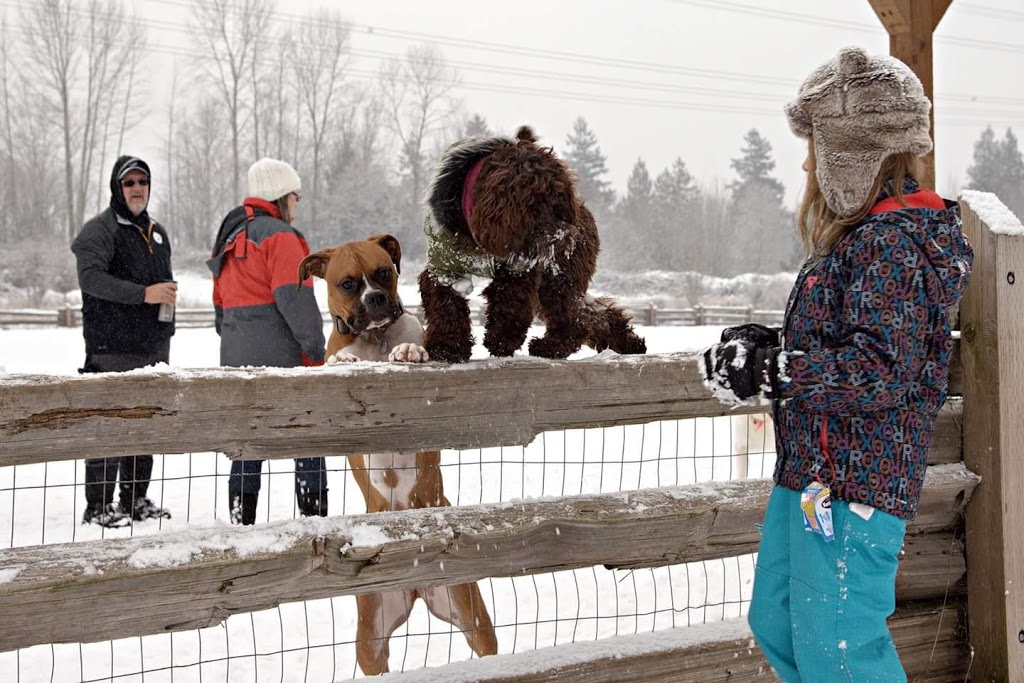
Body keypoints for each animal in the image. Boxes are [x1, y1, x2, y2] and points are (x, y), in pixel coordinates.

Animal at [296, 233, 495, 671]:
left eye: (384, 272)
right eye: (347, 283)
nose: (374, 299)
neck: (376, 338)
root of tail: (416, 587)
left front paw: (407, 351)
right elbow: (335, 362)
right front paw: (344, 358)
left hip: (473, 617)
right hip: (370, 641)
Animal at [417, 126, 643, 362]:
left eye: (558, 204)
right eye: (533, 205)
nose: (563, 236)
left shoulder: (519, 266)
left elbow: (510, 301)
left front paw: (501, 340)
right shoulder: (444, 265)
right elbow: (446, 305)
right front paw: (447, 348)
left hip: (560, 275)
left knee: (575, 318)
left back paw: (552, 347)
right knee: (587, 314)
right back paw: (628, 343)